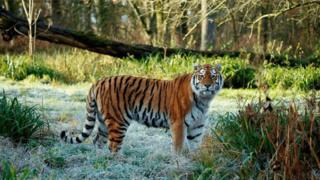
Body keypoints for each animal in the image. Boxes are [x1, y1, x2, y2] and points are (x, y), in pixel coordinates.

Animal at [61, 63, 224, 153]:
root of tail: (99, 81)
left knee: (98, 141)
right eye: (201, 76)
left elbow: (195, 147)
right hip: (118, 121)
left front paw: (194, 161)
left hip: (103, 122)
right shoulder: (178, 124)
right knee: (113, 146)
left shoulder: (197, 126)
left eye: (213, 76)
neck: (203, 100)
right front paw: (178, 163)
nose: (207, 85)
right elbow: (177, 147)